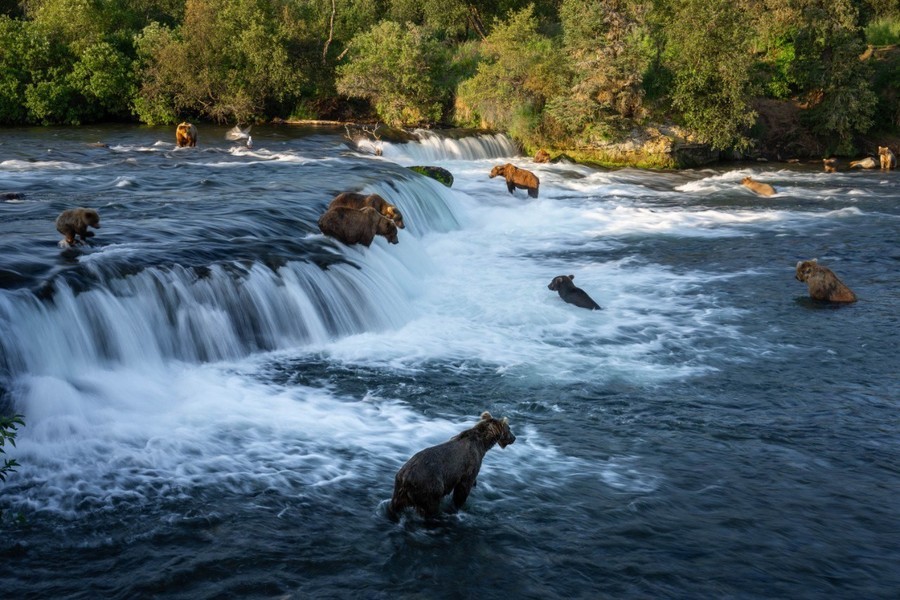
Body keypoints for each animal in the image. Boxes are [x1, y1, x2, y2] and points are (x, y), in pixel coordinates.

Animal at [388, 412, 520, 520]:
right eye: (509, 428)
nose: (514, 438)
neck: (482, 444)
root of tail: (405, 476)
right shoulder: (470, 465)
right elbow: (463, 489)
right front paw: (459, 506)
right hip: (429, 486)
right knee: (430, 507)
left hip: (399, 491)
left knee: (394, 506)